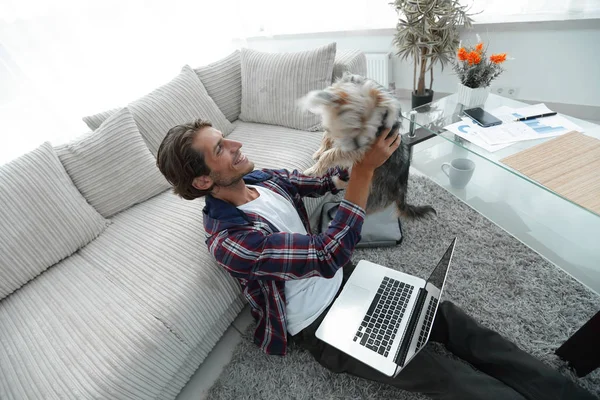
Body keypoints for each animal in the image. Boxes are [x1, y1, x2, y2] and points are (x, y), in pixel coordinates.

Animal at [300, 74, 436, 219]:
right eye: (353, 128)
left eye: (369, 130)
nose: (357, 145)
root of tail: (402, 189)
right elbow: (327, 136)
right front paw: (320, 150)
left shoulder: (363, 148)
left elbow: (332, 154)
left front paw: (314, 169)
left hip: (375, 192)